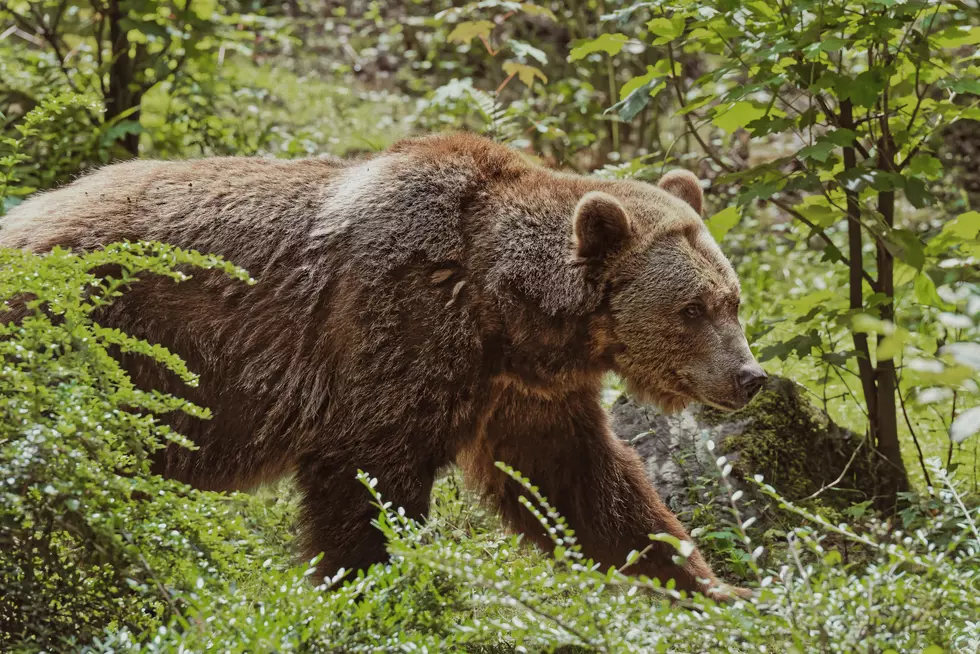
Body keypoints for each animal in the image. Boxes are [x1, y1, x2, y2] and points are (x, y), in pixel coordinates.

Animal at [0, 133, 764, 604]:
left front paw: (715, 585)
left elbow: (586, 486)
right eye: (693, 308)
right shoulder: (394, 330)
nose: (748, 376)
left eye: (733, 299)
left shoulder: (521, 392)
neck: (504, 309)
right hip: (93, 342)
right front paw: (373, 590)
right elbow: (366, 486)